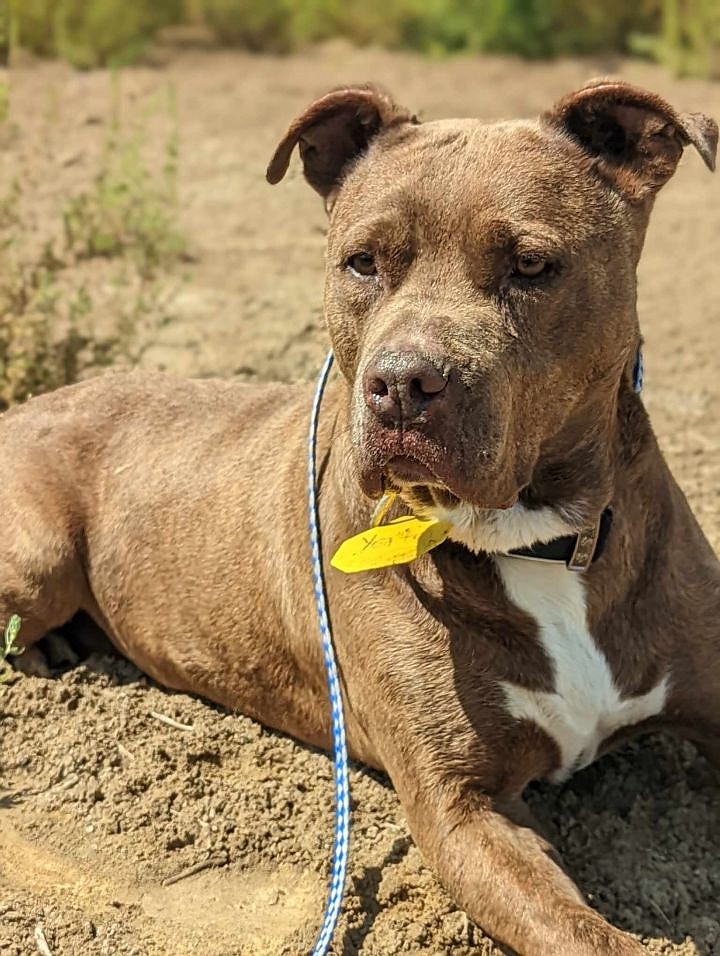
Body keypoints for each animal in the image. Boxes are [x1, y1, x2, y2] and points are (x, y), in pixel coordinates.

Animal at [2, 82, 716, 956]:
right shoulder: (462, 810)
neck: (540, 543)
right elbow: (588, 938)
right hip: (38, 557)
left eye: (531, 264)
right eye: (363, 262)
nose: (403, 383)